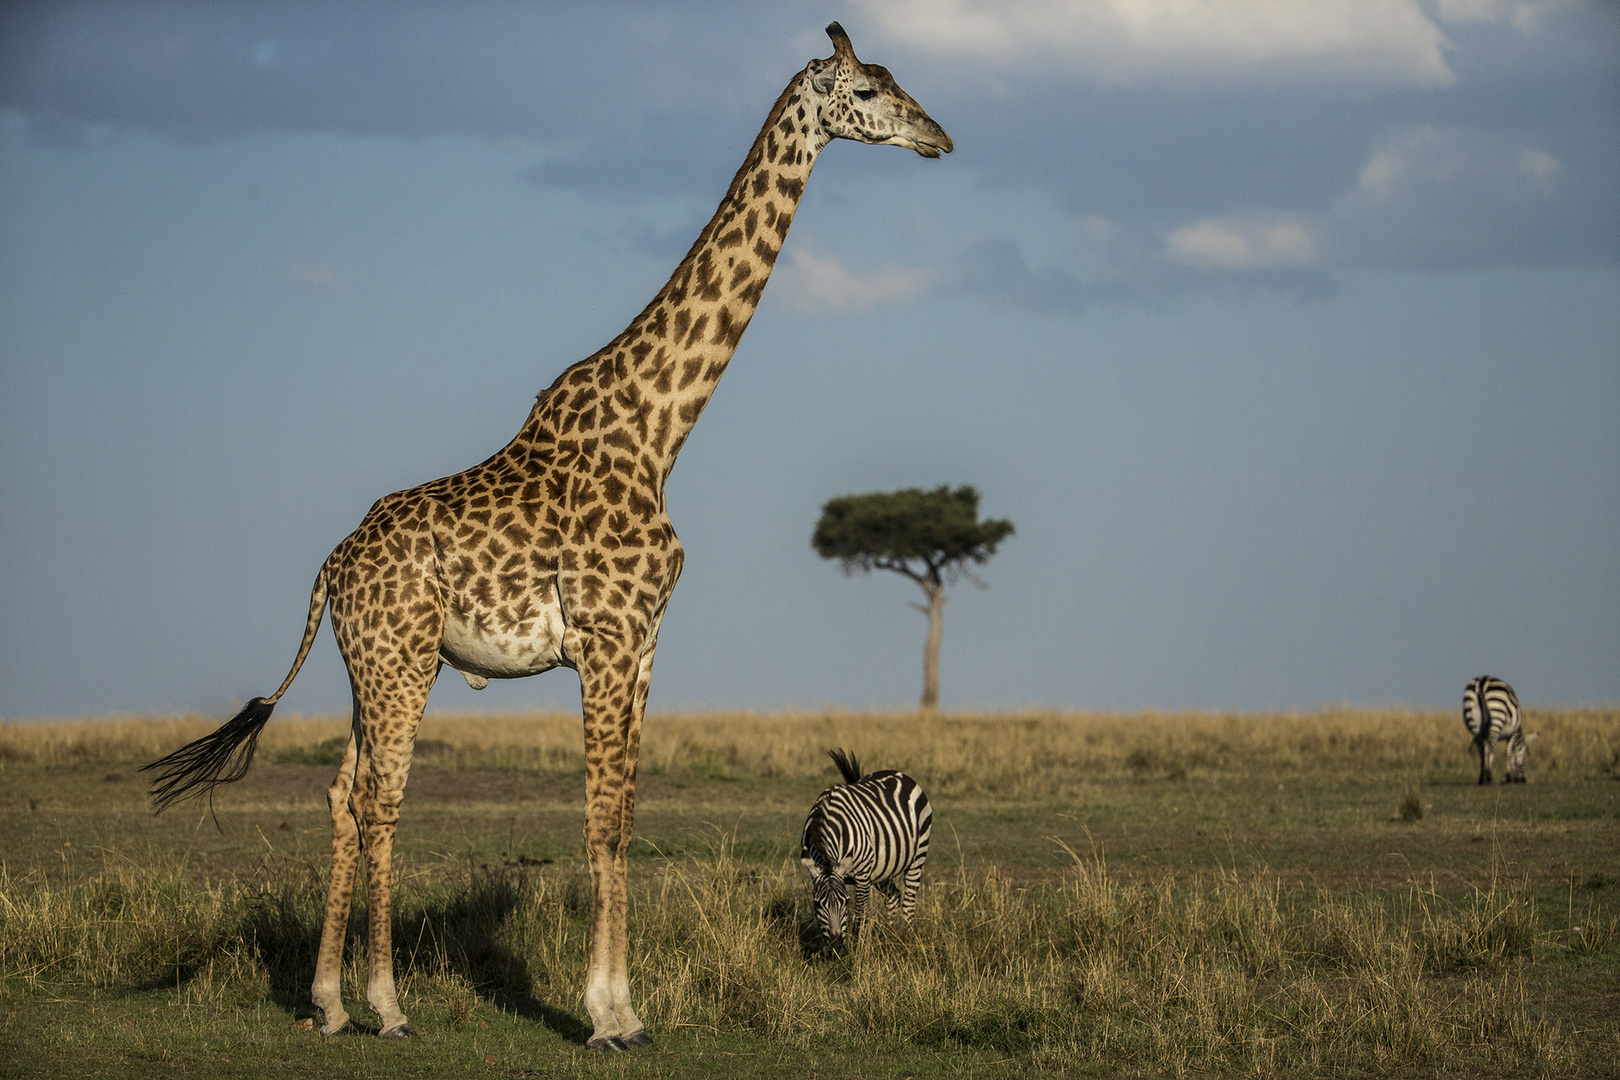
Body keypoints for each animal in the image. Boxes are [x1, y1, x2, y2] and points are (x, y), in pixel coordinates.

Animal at [800, 748, 933, 952]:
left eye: (846, 901)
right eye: (817, 903)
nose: (836, 944)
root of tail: (898, 773)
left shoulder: (862, 875)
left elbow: (861, 917)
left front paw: (859, 952)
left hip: (917, 857)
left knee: (909, 903)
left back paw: (906, 939)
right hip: (882, 869)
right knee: (893, 896)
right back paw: (893, 936)